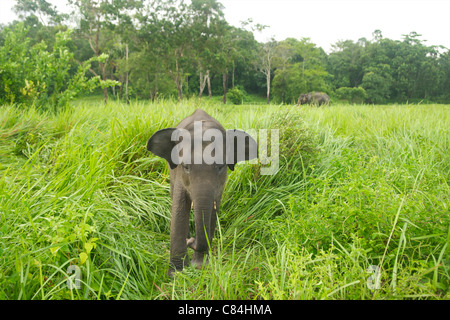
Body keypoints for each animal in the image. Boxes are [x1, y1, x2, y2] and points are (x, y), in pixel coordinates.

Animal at [145, 109, 256, 276]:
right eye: (186, 166)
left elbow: (212, 213)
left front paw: (200, 266)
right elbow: (179, 209)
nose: (191, 241)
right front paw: (177, 274)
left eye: (221, 166)